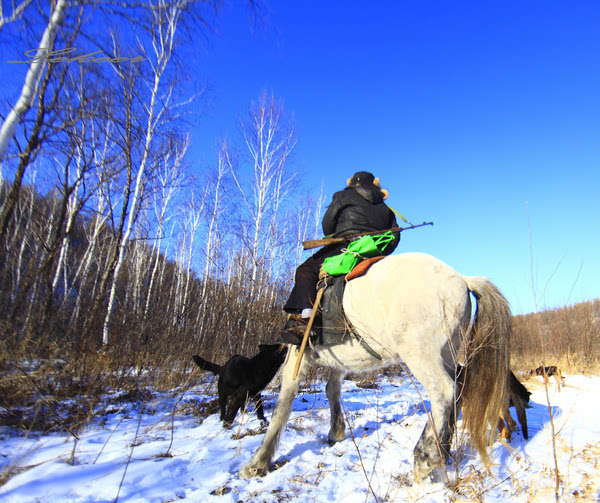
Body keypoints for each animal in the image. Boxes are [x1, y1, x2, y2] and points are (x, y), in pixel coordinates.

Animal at [239, 254, 510, 482]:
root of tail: (462, 279)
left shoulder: (297, 355)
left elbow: (283, 405)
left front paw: (257, 463)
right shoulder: (339, 362)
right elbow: (331, 390)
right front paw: (336, 432)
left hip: (421, 355)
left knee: (443, 393)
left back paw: (426, 456)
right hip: (448, 354)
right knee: (457, 392)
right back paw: (443, 451)